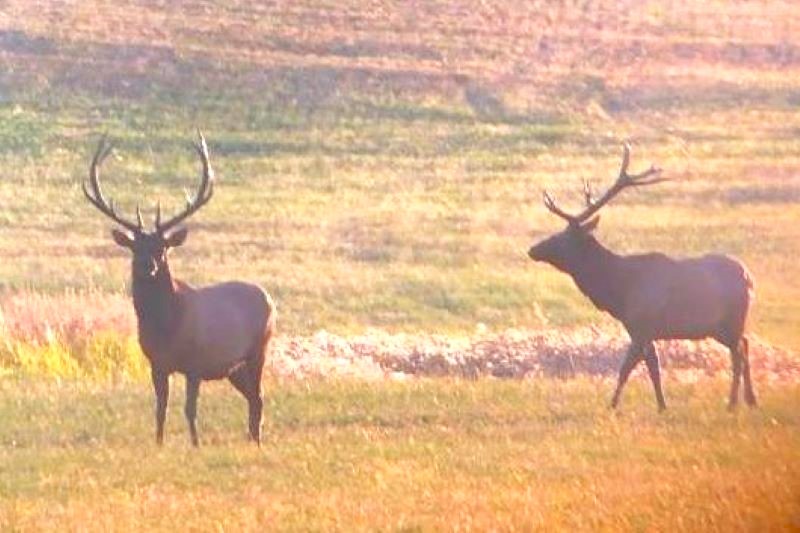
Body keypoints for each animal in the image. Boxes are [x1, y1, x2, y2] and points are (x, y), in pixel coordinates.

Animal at [81, 132, 276, 444]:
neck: (166, 327)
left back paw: (256, 442)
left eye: (162, 248)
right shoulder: (156, 364)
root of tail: (270, 300)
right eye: (135, 248)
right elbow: (160, 408)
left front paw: (196, 445)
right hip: (234, 368)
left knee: (258, 398)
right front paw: (159, 444)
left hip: (259, 349)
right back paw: (251, 439)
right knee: (253, 398)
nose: (147, 266)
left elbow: (189, 409)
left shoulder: (195, 363)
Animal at [528, 144, 752, 412]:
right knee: (745, 345)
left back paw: (732, 403)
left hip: (730, 321)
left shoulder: (641, 326)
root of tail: (749, 278)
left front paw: (615, 406)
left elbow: (628, 367)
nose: (532, 249)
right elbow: (651, 367)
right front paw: (660, 405)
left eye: (562, 237)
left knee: (738, 354)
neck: (619, 292)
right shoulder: (643, 330)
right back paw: (752, 400)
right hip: (722, 327)